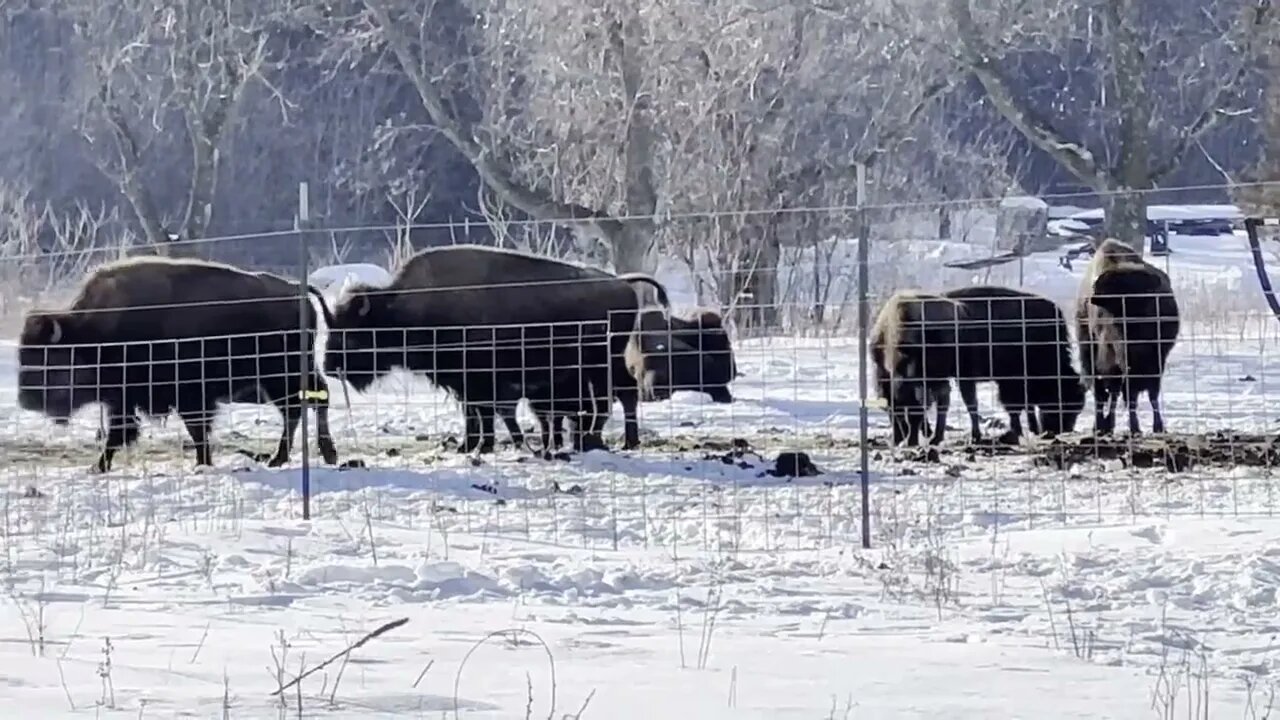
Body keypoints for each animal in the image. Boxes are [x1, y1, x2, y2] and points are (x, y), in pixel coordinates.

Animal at [18, 256, 340, 471]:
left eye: (48, 360)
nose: (26, 400)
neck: (89, 334)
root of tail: (299, 291)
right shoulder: (122, 399)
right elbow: (120, 433)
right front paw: (100, 466)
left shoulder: (188, 396)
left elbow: (195, 430)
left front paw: (202, 463)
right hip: (282, 376)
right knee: (305, 404)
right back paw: (297, 456)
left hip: (281, 375)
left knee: (305, 404)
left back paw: (303, 455)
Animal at [322, 243, 670, 450]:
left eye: (352, 335)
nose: (329, 368)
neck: (400, 309)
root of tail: (621, 282)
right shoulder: (463, 383)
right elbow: (474, 415)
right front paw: (470, 445)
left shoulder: (480, 380)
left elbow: (483, 413)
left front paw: (481, 446)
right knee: (614, 397)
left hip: (601, 363)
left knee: (616, 397)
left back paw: (616, 441)